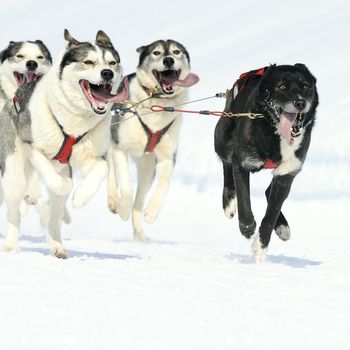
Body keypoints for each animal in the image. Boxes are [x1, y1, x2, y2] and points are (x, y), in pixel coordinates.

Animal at [0, 30, 128, 258]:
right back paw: (10, 245)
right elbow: (56, 180)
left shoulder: (92, 156)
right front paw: (66, 185)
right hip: (14, 174)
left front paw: (80, 197)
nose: (107, 73)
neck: (74, 121)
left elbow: (102, 168)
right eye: (88, 62)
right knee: (14, 212)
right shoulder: (32, 147)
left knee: (54, 219)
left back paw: (57, 245)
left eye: (112, 63)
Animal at [106, 39, 200, 241]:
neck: (157, 103)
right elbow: (126, 186)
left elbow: (164, 184)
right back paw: (114, 202)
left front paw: (152, 211)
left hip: (148, 169)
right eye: (156, 52)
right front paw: (123, 209)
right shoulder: (121, 148)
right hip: (111, 147)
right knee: (111, 175)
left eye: (176, 51)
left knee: (139, 201)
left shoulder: (167, 158)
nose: (168, 60)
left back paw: (140, 234)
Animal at [213, 64, 318, 262]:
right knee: (225, 162)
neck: (274, 132)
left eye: (306, 86)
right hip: (222, 138)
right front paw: (247, 228)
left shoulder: (286, 175)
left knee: (269, 191)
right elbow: (244, 202)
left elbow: (271, 214)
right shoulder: (242, 163)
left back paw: (282, 227)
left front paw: (261, 246)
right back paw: (229, 201)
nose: (300, 102)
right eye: (282, 87)